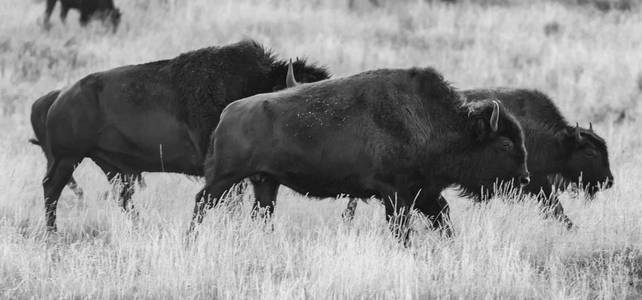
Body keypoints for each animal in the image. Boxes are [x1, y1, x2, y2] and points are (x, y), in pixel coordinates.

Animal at [31, 39, 328, 232]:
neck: (256, 85)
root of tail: (58, 97)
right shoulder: (228, 174)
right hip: (68, 158)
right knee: (51, 189)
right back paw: (52, 234)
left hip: (111, 167)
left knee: (122, 197)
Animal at [188, 67, 528, 244]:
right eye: (505, 144)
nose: (524, 178)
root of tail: (227, 113)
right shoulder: (396, 196)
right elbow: (403, 229)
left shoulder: (425, 194)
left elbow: (442, 218)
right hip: (224, 179)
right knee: (202, 202)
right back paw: (191, 239)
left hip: (265, 182)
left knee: (262, 212)